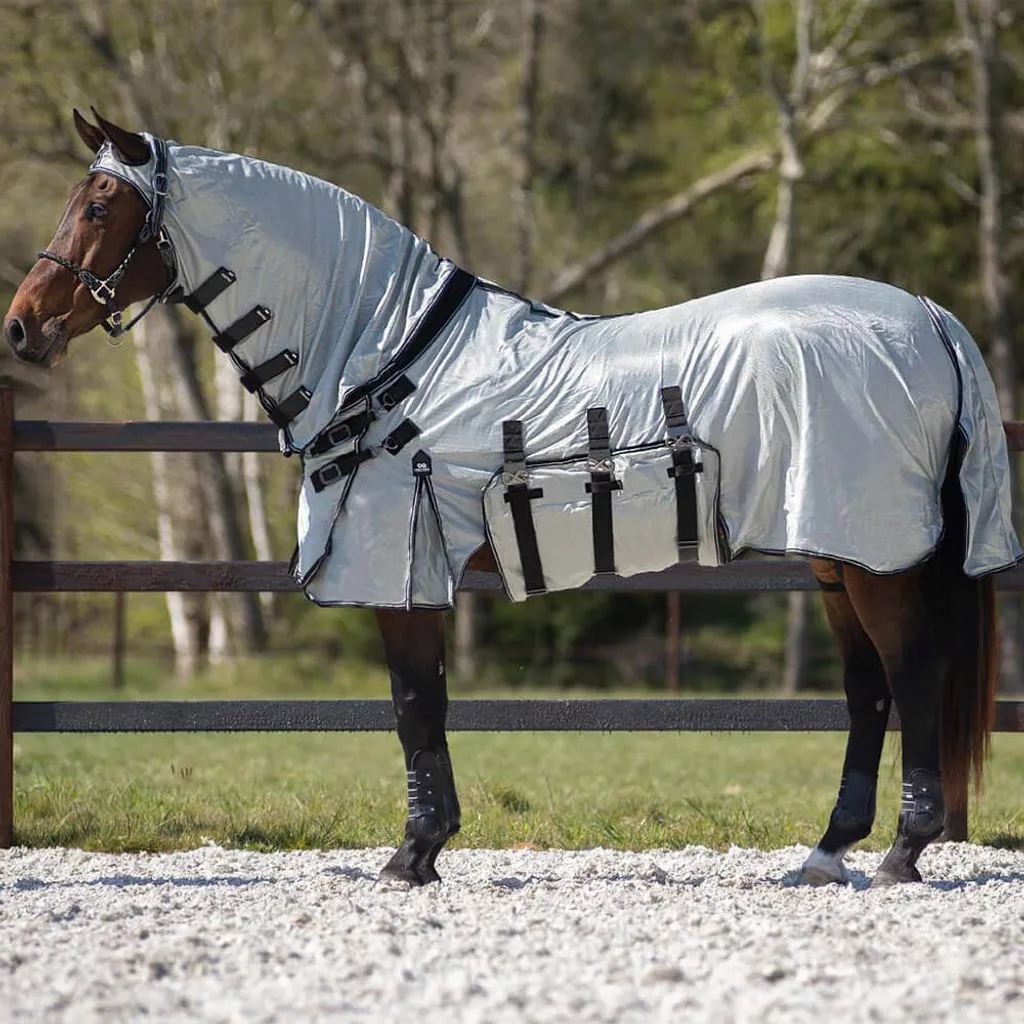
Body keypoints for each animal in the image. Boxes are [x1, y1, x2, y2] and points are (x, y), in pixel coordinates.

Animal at [5, 110, 1020, 889]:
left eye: (100, 205)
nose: (22, 326)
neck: (381, 348)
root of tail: (926, 316)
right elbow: (430, 705)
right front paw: (428, 847)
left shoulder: (399, 563)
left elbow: (414, 703)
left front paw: (411, 855)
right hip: (835, 554)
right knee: (866, 689)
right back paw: (826, 852)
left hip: (872, 555)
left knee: (912, 674)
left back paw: (900, 855)